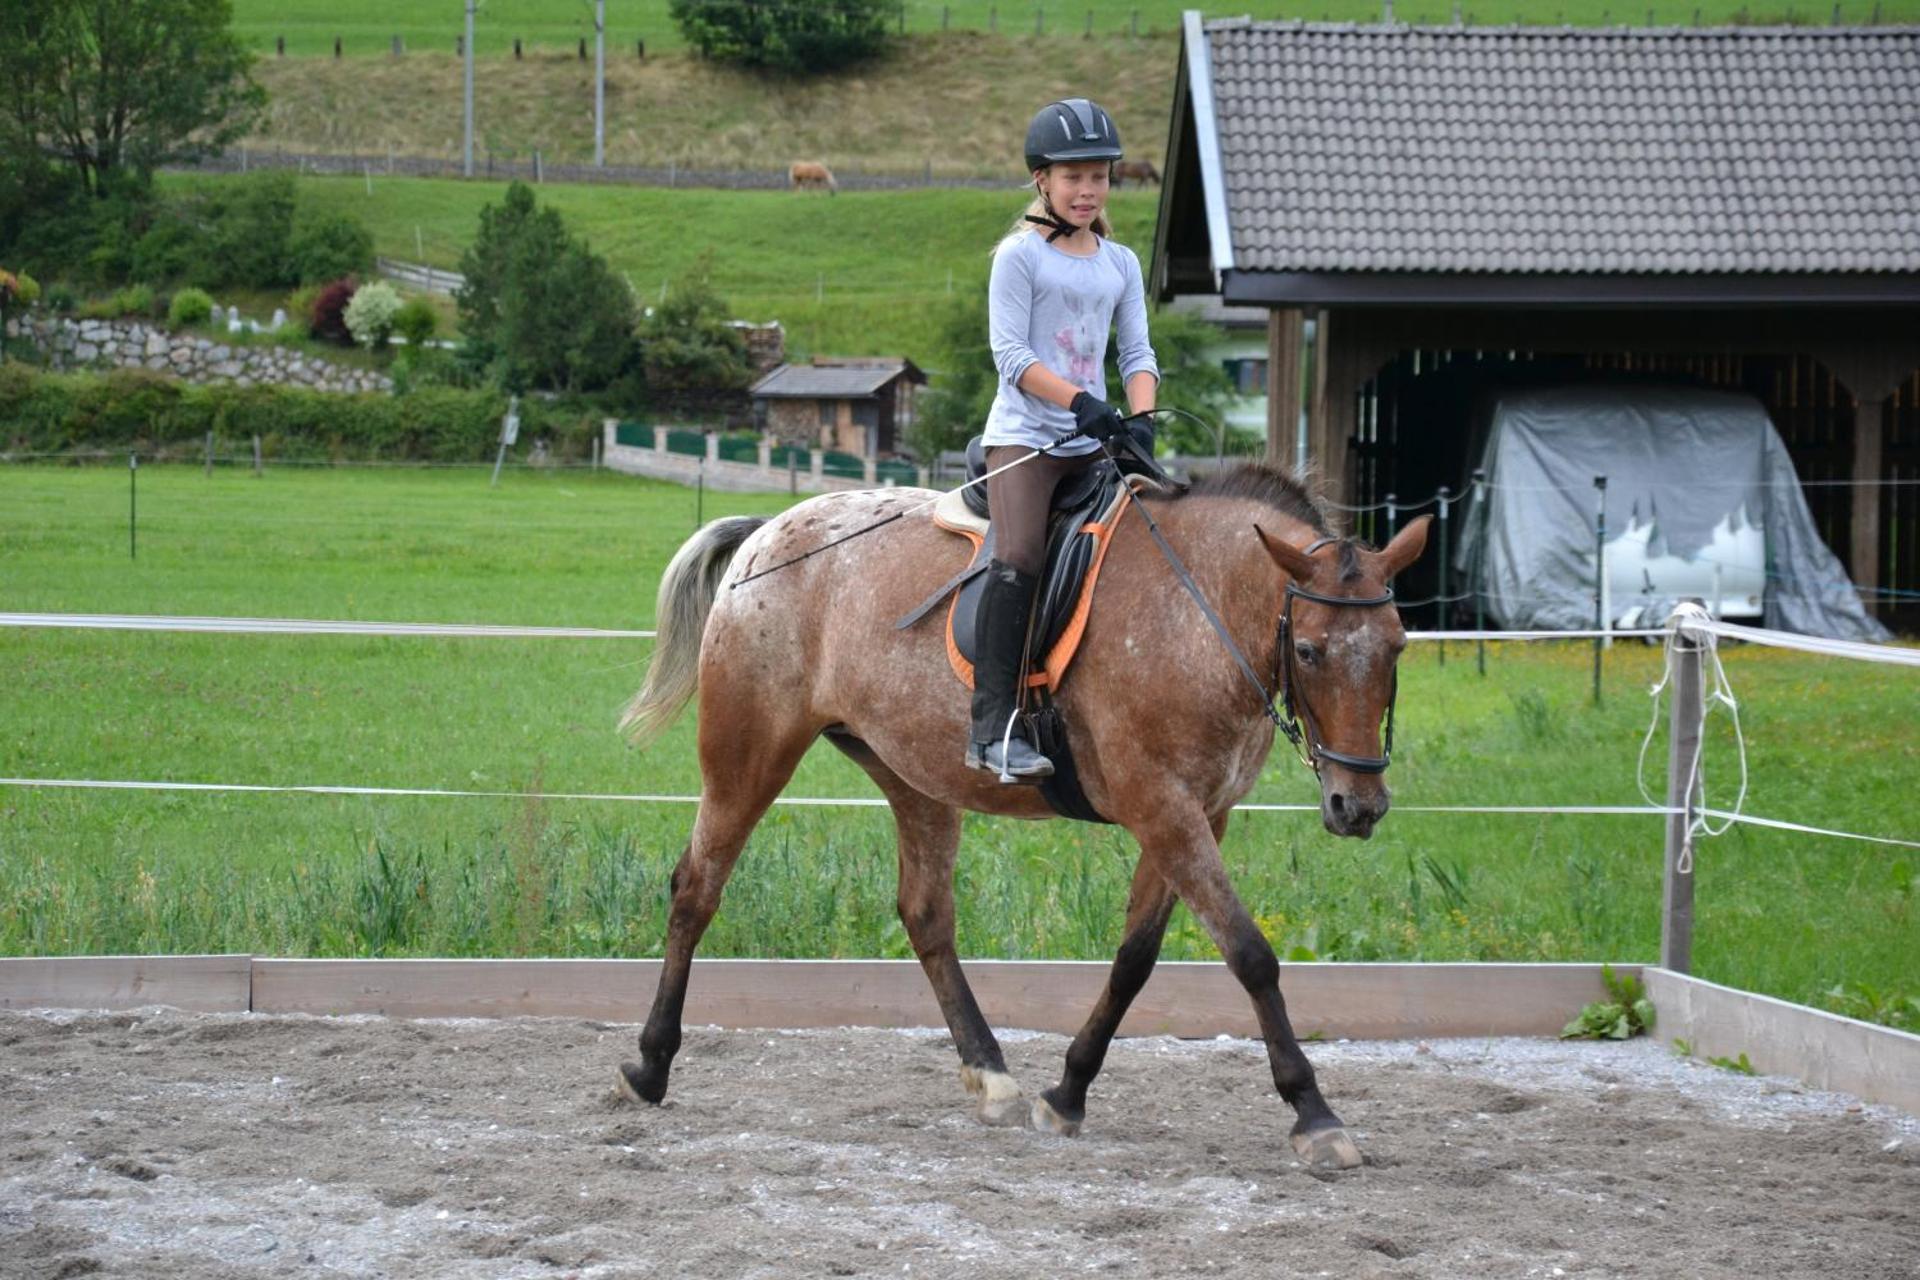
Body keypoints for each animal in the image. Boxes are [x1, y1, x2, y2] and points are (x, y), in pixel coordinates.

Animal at [615, 462, 1430, 1169]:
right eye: (1309, 650)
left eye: (1397, 646)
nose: (1358, 806)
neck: (1198, 610)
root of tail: (769, 532)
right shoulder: (1162, 807)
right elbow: (1251, 955)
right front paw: (1315, 1114)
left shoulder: (1199, 814)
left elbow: (1135, 960)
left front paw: (1067, 1092)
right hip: (750, 752)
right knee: (696, 890)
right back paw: (651, 1064)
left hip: (912, 774)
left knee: (925, 914)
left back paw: (990, 1073)